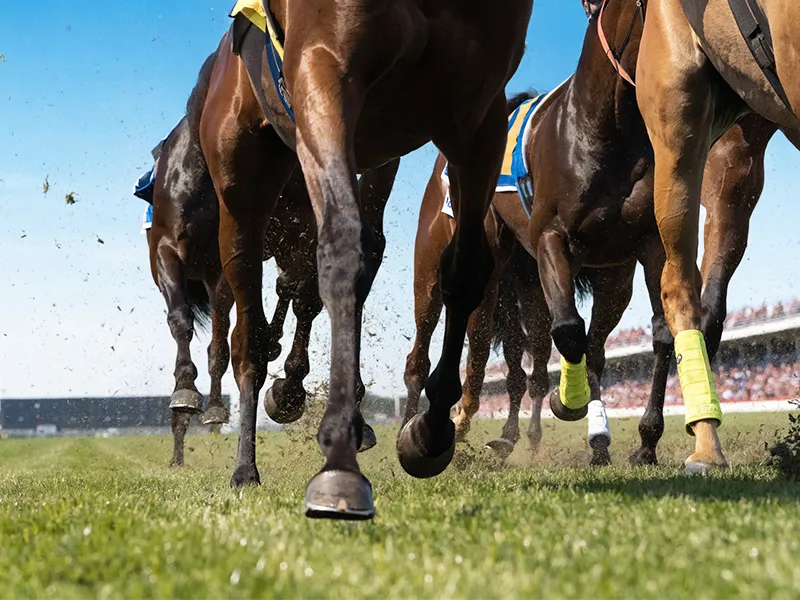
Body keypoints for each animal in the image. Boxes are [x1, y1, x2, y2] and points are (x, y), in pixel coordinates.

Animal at [199, 0, 533, 519]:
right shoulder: (324, 70)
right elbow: (339, 248)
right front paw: (339, 458)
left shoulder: (478, 110)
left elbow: (465, 270)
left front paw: (430, 432)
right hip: (241, 192)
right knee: (247, 331)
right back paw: (246, 462)